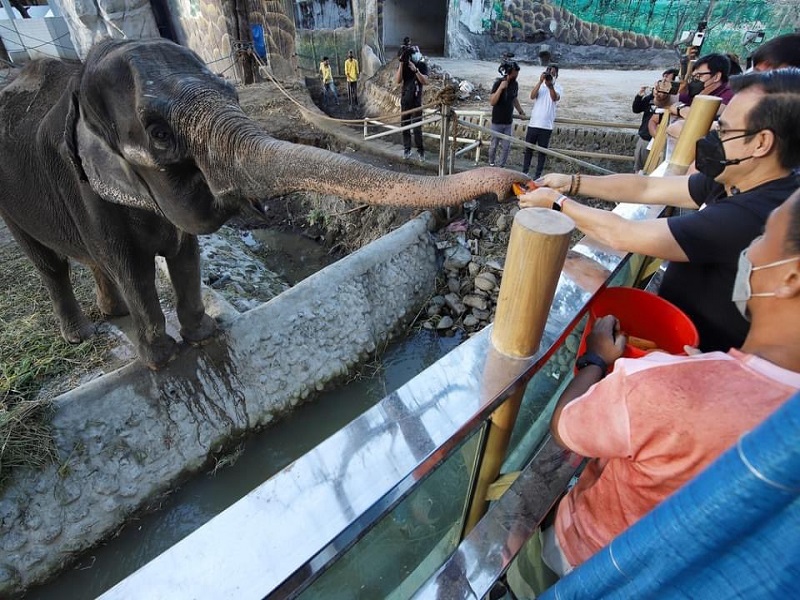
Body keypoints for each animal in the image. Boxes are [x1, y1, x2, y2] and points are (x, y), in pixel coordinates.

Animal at [0, 38, 524, 370]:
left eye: (231, 92)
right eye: (159, 134)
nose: (515, 187)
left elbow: (186, 253)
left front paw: (204, 335)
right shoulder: (83, 187)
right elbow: (133, 266)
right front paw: (163, 360)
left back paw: (110, 316)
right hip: (13, 205)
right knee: (51, 263)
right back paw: (82, 333)